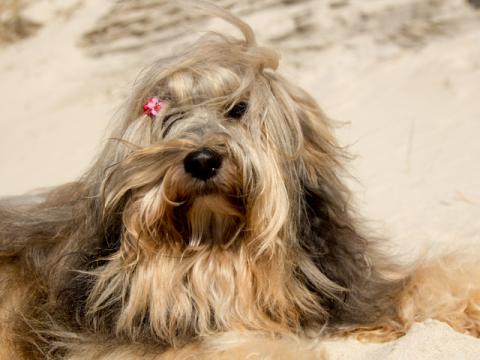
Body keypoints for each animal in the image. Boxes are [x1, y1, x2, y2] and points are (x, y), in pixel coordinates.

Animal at [0, 3, 480, 360]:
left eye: (237, 109)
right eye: (168, 118)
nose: (202, 160)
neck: (218, 249)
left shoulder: (355, 289)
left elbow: (425, 281)